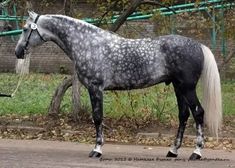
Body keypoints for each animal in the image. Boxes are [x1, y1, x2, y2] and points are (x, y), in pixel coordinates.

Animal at [15, 11, 222, 160]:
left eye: (25, 29)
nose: (18, 52)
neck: (88, 44)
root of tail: (198, 45)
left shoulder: (95, 88)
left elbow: (97, 118)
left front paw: (97, 149)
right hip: (178, 87)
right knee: (183, 115)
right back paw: (173, 150)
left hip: (187, 87)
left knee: (198, 113)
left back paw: (196, 152)